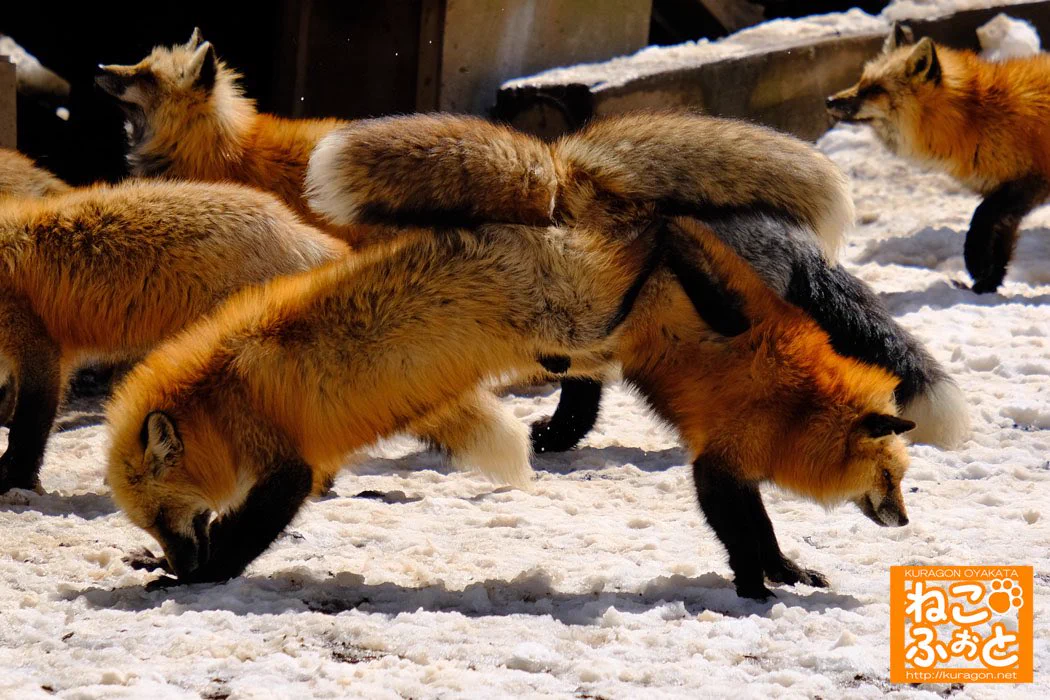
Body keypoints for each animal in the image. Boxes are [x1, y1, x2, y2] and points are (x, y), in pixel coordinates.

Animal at [827, 23, 1050, 293]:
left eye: (876, 90)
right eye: (861, 82)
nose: (829, 101)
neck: (976, 119)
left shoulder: (1028, 183)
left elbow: (980, 219)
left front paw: (974, 262)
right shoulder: (1004, 192)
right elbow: (999, 247)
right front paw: (985, 287)